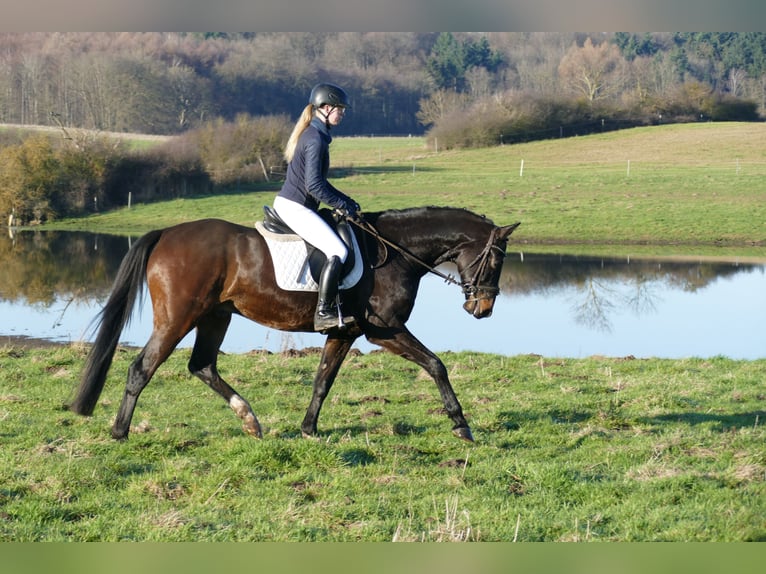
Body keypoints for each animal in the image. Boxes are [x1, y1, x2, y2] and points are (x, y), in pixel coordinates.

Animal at [69, 206, 520, 442]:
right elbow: (436, 365)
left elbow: (323, 381)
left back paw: (250, 420)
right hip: (178, 318)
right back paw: (120, 432)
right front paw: (461, 425)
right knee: (141, 368)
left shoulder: (344, 332)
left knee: (202, 366)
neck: (396, 252)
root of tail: (166, 234)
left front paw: (308, 429)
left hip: (215, 316)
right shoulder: (384, 331)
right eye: (496, 259)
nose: (483, 309)